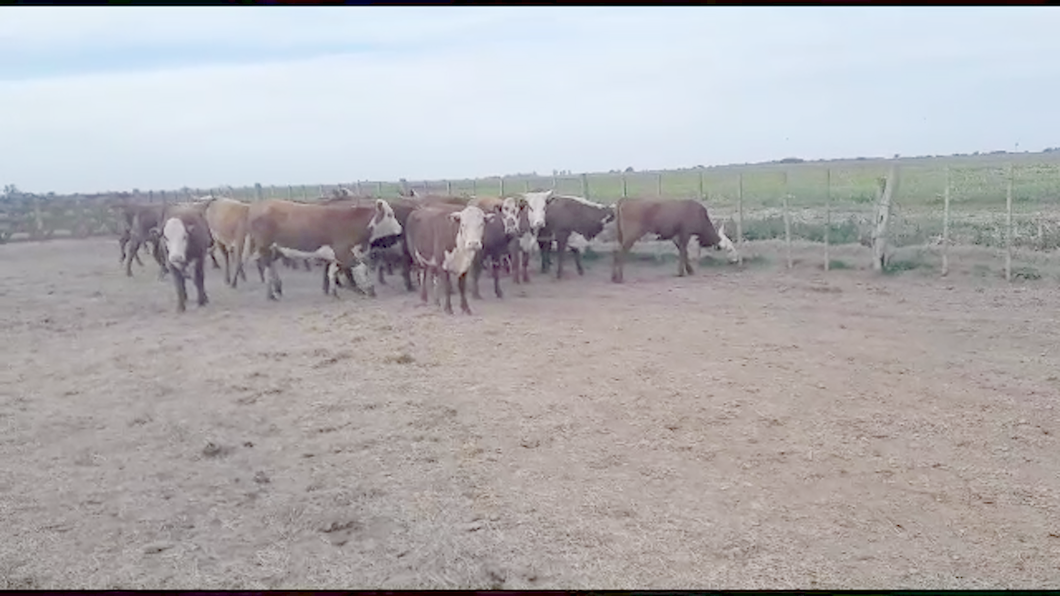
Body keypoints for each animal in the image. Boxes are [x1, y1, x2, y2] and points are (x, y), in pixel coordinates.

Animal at [243, 198, 404, 301]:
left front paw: (334, 292)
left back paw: (277, 289)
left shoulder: (337, 255)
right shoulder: (343, 252)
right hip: (265, 247)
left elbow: (332, 272)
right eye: (390, 214)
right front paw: (370, 290)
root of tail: (258, 206)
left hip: (275, 249)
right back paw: (271, 294)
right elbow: (362, 268)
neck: (351, 222)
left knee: (270, 267)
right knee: (266, 268)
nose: (400, 229)